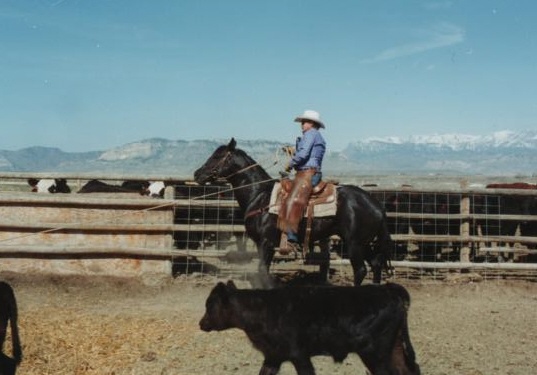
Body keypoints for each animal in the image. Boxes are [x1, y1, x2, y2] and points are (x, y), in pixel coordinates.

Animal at [195, 138, 392, 288]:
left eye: (217, 156)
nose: (197, 174)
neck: (259, 196)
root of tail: (376, 205)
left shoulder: (266, 242)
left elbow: (262, 269)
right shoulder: (262, 243)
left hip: (355, 243)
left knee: (361, 270)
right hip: (363, 243)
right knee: (375, 264)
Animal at [199, 282, 420, 375]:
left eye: (210, 305)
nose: (201, 323)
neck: (263, 309)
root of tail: (388, 289)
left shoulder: (299, 355)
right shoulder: (273, 356)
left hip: (375, 353)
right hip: (394, 348)